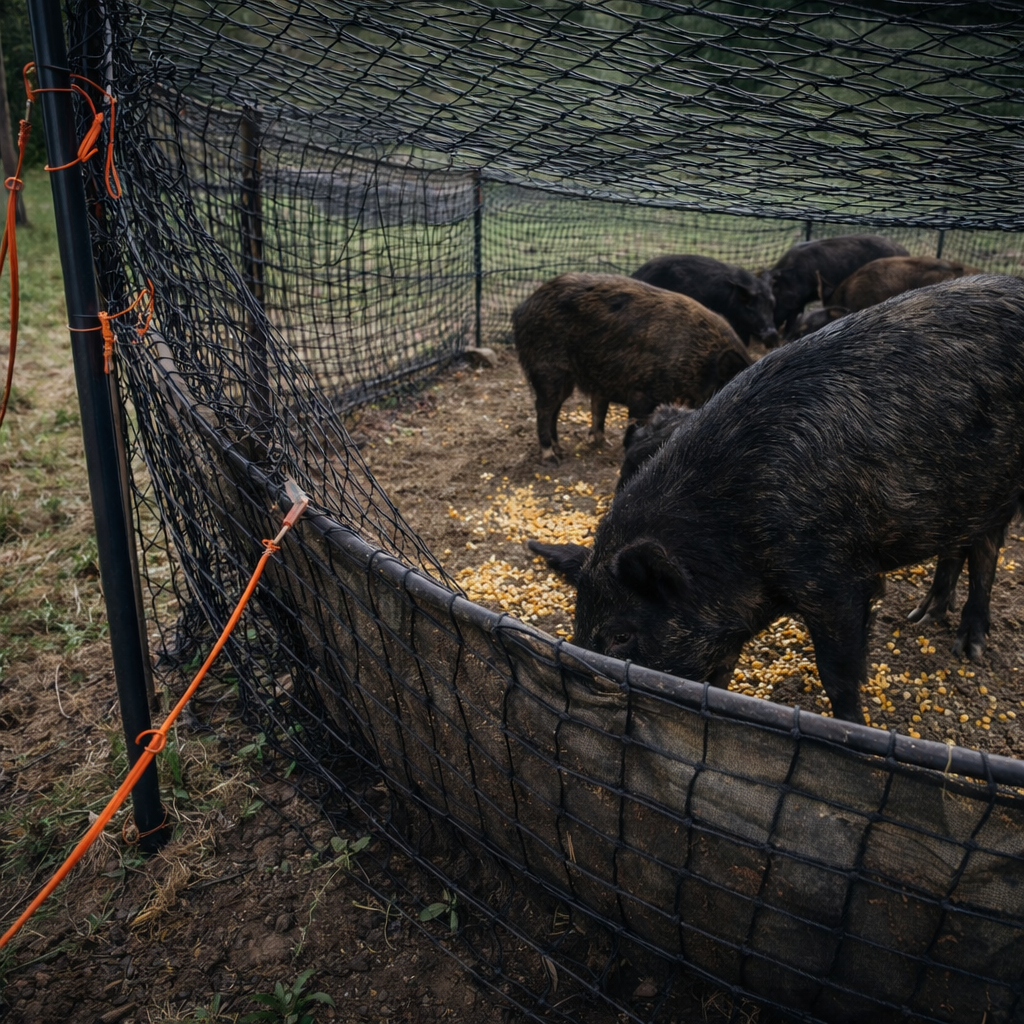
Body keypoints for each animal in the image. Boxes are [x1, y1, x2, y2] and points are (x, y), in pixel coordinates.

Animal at [512, 272, 751, 462]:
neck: (698, 362)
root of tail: (522, 308)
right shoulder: (641, 393)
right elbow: (635, 423)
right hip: (548, 370)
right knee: (544, 409)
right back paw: (551, 458)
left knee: (557, 408)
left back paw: (576, 448)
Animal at [563, 275, 1024, 724]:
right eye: (578, 620)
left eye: (621, 635)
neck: (735, 524)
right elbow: (721, 665)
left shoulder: (838, 579)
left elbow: (838, 675)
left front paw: (851, 729)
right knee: (960, 546)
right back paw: (923, 616)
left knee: (986, 552)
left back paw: (968, 648)